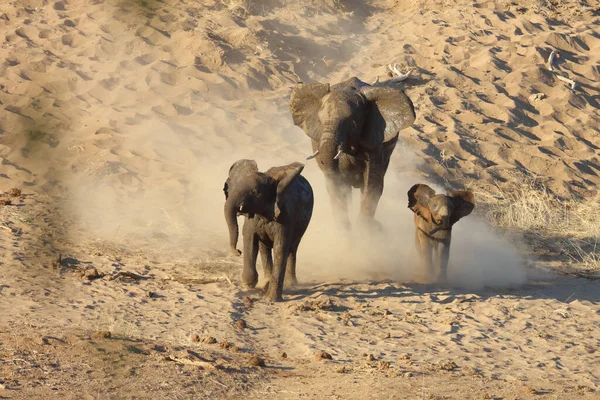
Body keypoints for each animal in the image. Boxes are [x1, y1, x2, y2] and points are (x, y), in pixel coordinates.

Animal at [221, 159, 314, 304]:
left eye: (255, 192)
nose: (238, 252)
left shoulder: (286, 216)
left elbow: (280, 247)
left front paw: (270, 300)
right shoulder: (252, 219)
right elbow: (249, 239)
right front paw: (249, 283)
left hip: (303, 224)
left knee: (292, 249)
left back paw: (291, 284)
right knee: (264, 248)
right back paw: (266, 282)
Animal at [288, 76, 414, 230]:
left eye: (352, 123)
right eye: (320, 121)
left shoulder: (375, 144)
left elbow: (372, 184)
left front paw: (363, 232)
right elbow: (335, 185)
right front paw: (345, 232)